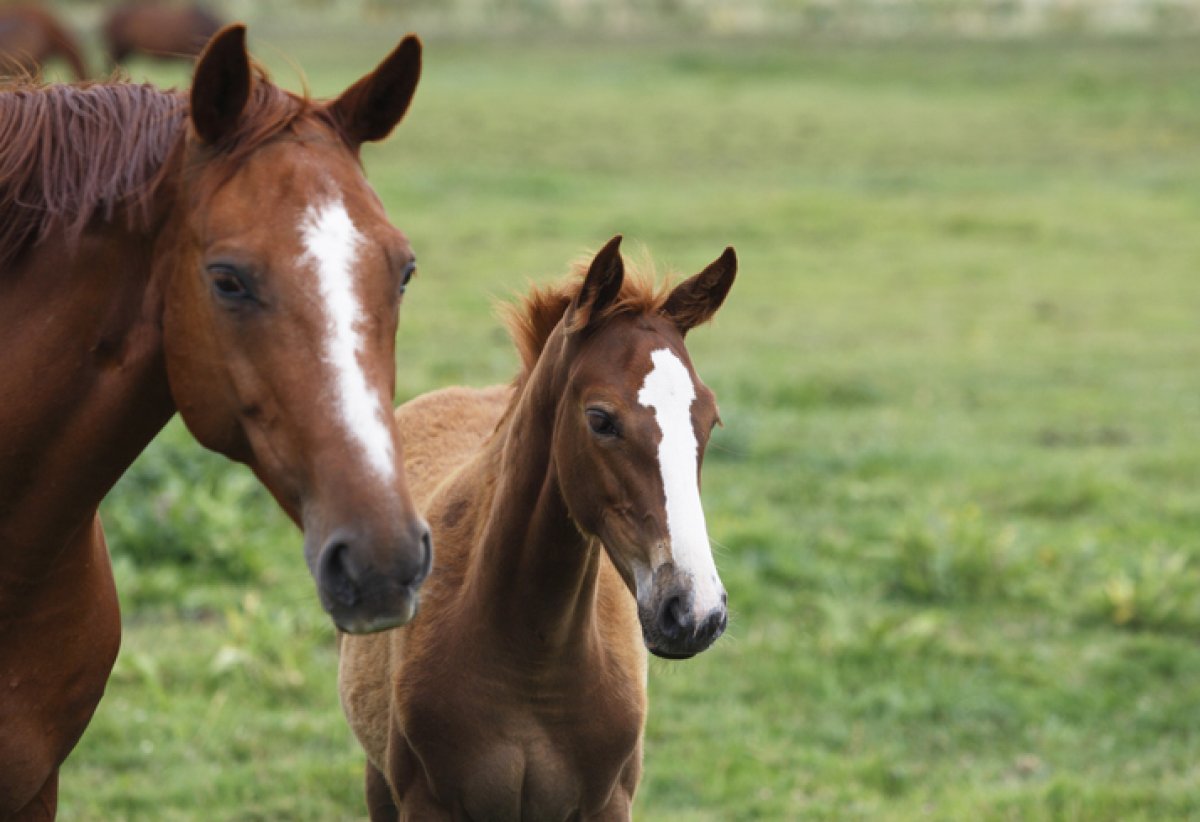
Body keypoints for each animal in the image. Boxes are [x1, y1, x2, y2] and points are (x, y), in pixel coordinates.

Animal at [333, 234, 734, 816]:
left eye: (710, 419)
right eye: (600, 419)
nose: (695, 613)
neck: (534, 660)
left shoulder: (609, 803)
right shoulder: (424, 803)